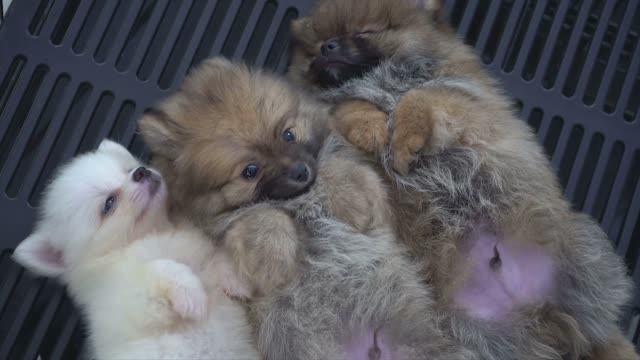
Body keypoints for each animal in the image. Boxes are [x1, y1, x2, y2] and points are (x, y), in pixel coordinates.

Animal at [12, 139, 258, 358]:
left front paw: (236, 279)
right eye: (108, 204)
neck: (157, 233)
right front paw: (192, 295)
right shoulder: (135, 303)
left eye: (128, 170)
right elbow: (160, 268)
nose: (140, 172)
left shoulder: (202, 252)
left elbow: (216, 256)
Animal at [140, 57, 472, 358]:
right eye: (250, 171)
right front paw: (273, 258)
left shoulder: (363, 176)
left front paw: (350, 200)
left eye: (289, 134)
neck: (298, 200)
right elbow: (261, 214)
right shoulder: (223, 222)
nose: (300, 172)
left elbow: (334, 165)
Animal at [288, 0, 640, 360]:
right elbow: (347, 107)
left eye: (363, 32)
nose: (329, 47)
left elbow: (417, 97)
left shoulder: (460, 96)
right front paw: (372, 128)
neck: (374, 79)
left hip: (580, 243)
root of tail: (530, 307)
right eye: (316, 47)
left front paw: (401, 140)